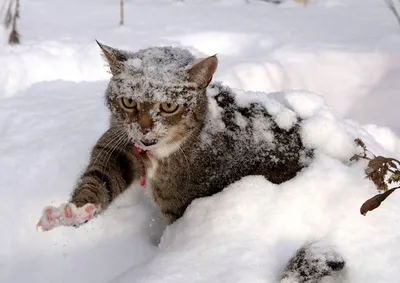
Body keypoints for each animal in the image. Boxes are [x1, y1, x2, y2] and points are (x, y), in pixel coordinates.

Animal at [36, 42, 344, 283]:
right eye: (128, 102)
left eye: (168, 106)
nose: (144, 129)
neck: (159, 156)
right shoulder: (120, 145)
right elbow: (100, 179)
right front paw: (70, 212)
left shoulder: (181, 204)